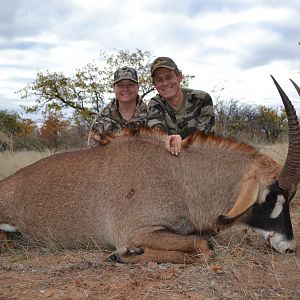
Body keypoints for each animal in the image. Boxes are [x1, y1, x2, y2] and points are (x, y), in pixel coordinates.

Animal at [0, 76, 298, 264]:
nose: (288, 246)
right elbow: (204, 246)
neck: (182, 177)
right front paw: (123, 255)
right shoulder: (136, 232)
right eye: (270, 196)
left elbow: (203, 244)